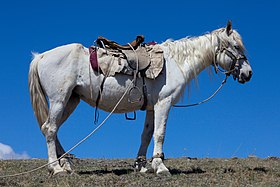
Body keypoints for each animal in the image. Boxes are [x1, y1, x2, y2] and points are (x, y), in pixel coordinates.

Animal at [27, 21, 252, 175]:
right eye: (236, 46)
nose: (248, 73)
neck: (175, 62)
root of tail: (40, 57)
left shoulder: (152, 107)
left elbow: (146, 134)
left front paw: (142, 166)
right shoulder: (164, 103)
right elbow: (160, 134)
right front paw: (160, 167)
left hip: (71, 100)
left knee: (50, 128)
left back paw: (66, 163)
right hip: (59, 99)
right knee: (50, 128)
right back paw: (56, 168)